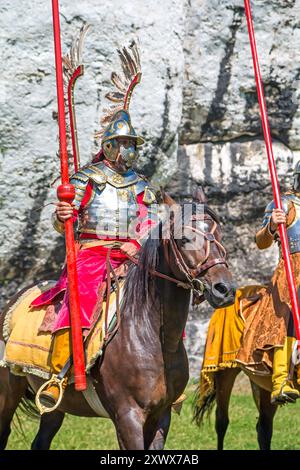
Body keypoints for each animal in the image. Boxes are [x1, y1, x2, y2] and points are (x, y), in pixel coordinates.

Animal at [0, 190, 234, 448]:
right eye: (184, 240)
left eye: (219, 235)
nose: (225, 289)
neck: (150, 334)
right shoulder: (127, 416)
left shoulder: (161, 415)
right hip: (7, 393)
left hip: (56, 407)